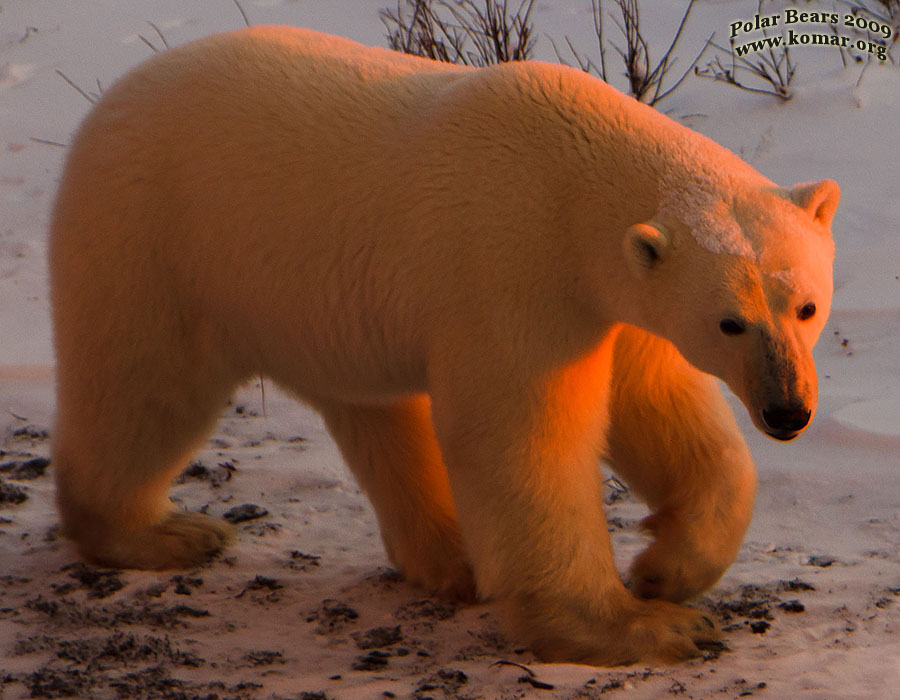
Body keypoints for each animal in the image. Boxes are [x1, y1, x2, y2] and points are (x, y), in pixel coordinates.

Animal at [47, 27, 836, 668]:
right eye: (730, 322)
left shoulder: (614, 300)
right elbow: (521, 437)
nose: (788, 411)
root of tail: (105, 105)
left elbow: (658, 406)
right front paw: (642, 627)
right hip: (160, 241)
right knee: (146, 388)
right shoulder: (511, 269)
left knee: (377, 414)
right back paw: (162, 533)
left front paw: (668, 568)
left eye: (805, 305)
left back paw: (452, 559)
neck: (572, 182)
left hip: (319, 307)